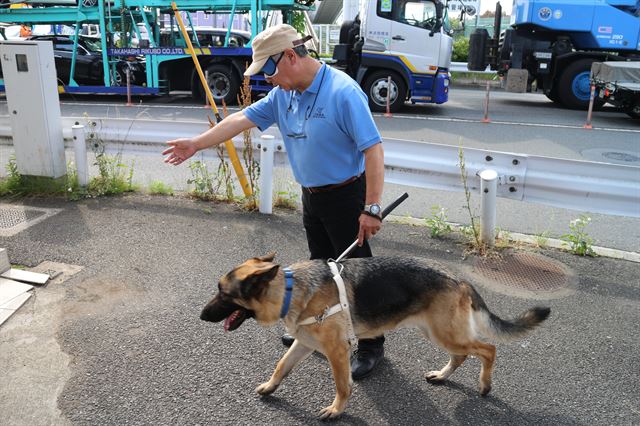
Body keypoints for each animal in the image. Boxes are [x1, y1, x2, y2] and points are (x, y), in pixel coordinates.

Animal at [200, 255, 552, 418]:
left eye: (223, 294)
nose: (201, 316)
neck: (290, 290)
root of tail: (460, 279)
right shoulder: (304, 343)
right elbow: (281, 366)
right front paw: (271, 387)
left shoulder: (337, 352)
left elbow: (342, 385)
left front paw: (336, 411)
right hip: (436, 332)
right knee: (462, 354)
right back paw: (442, 375)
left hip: (445, 333)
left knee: (488, 348)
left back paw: (485, 385)